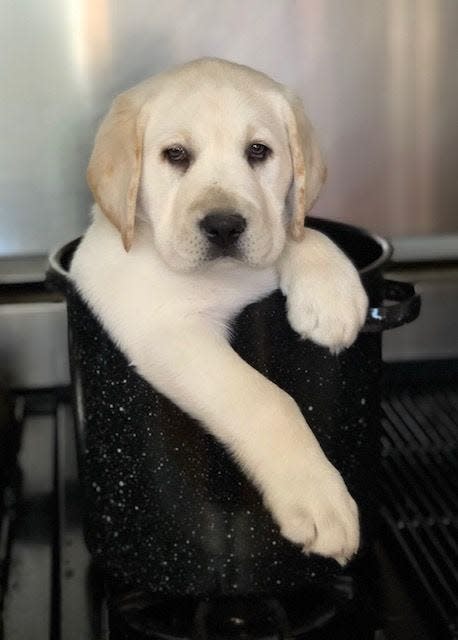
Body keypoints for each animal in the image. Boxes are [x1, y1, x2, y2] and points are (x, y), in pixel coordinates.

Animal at [73, 58, 370, 564]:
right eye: (175, 155)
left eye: (258, 151)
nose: (225, 226)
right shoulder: (168, 333)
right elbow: (266, 400)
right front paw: (317, 494)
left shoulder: (268, 242)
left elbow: (293, 231)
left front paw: (330, 290)